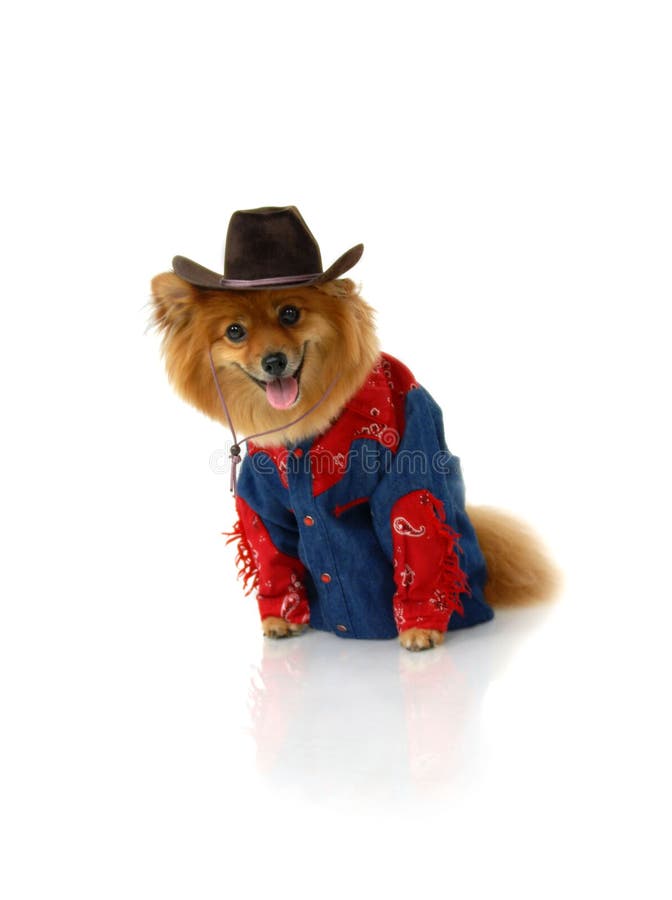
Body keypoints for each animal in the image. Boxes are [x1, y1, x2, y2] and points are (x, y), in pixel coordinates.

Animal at [152, 207, 556, 652]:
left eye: (290, 313)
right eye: (235, 332)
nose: (274, 361)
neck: (304, 423)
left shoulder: (408, 475)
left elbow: (413, 539)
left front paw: (420, 626)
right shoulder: (260, 502)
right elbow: (269, 556)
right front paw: (281, 616)